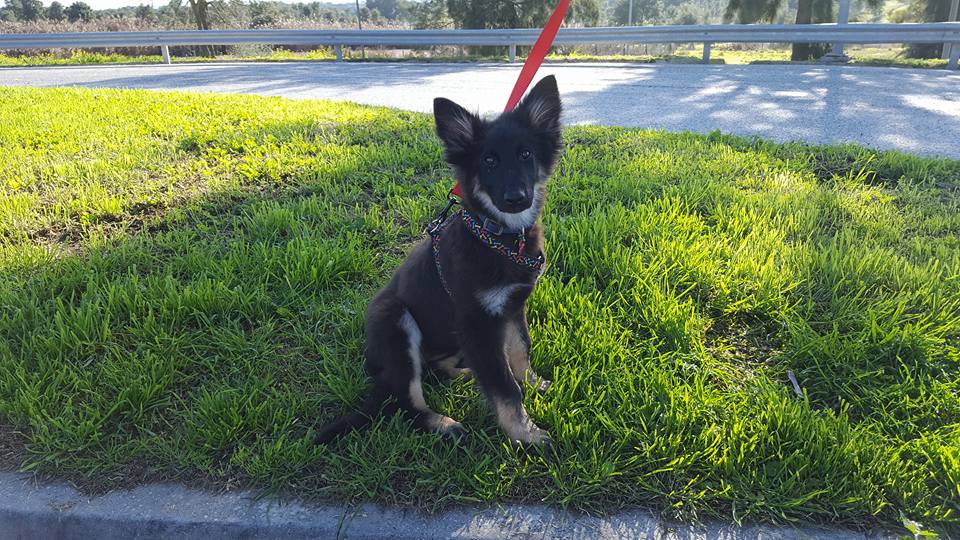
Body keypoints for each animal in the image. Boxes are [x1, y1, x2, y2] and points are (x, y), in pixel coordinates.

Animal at [315, 75, 562, 447]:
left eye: (526, 154)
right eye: (488, 161)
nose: (515, 198)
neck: (498, 238)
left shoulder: (512, 308)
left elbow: (520, 350)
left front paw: (534, 384)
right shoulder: (476, 322)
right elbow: (504, 386)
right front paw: (525, 435)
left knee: (438, 369)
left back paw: (463, 374)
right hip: (397, 323)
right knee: (405, 402)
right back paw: (442, 423)